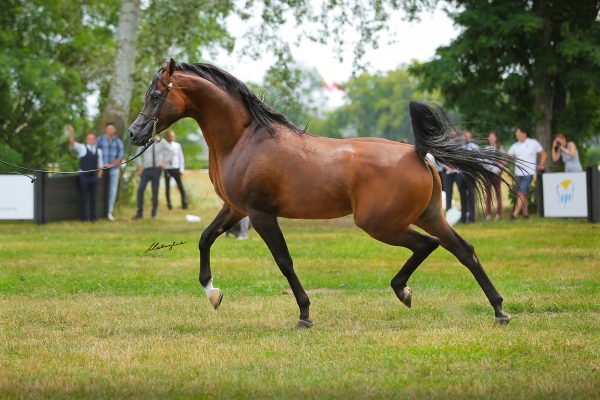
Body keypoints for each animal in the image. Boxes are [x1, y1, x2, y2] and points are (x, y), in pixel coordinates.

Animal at [129, 58, 512, 328]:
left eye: (155, 95)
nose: (134, 133)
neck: (243, 139)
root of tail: (420, 154)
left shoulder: (260, 214)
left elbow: (284, 261)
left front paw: (304, 314)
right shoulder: (236, 209)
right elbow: (205, 239)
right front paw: (213, 294)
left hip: (381, 223)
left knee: (427, 245)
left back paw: (404, 291)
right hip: (429, 215)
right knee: (464, 250)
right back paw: (498, 309)